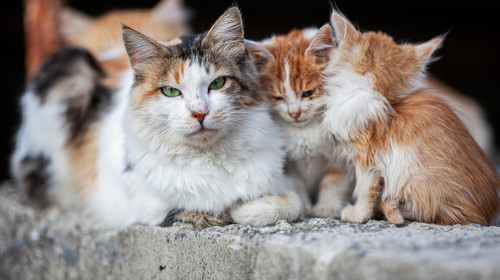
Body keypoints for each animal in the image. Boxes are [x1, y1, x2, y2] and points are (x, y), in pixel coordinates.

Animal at [245, 26, 352, 217]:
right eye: (278, 98)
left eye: (308, 93)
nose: (294, 113)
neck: (306, 131)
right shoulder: (288, 161)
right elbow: (296, 182)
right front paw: (304, 206)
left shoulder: (339, 156)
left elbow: (334, 181)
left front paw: (327, 207)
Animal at [322, 9, 498, 226]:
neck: (378, 96)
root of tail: (487, 213)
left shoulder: (367, 158)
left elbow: (365, 190)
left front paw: (358, 215)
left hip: (417, 181)